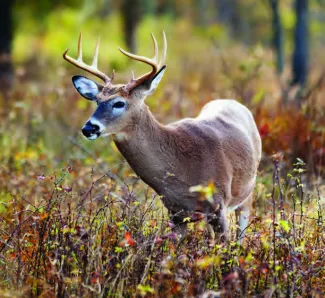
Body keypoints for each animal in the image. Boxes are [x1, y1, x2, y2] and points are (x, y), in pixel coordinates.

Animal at [62, 32, 260, 242]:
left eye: (119, 103)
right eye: (97, 101)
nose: (88, 128)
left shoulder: (219, 204)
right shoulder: (176, 214)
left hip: (247, 191)